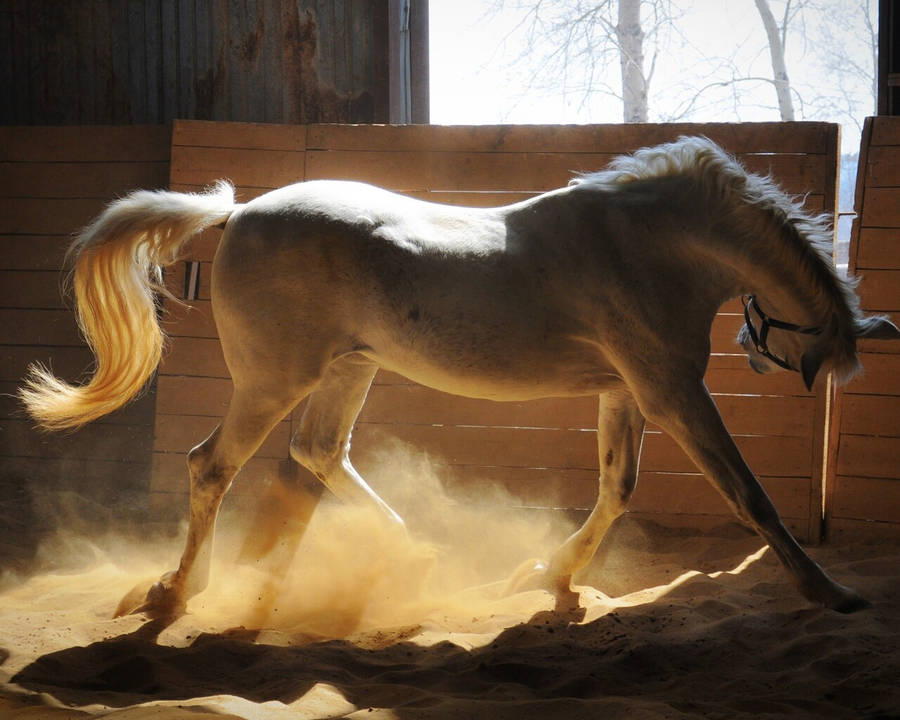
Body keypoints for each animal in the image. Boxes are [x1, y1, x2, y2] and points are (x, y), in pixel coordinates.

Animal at [19, 138, 892, 616]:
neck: (646, 244)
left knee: (318, 454)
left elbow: (617, 489)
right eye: (814, 356)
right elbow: (748, 496)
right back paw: (175, 593)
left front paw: (549, 575)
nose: (760, 354)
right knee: (213, 466)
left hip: (349, 370)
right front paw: (831, 593)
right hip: (272, 381)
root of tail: (238, 214)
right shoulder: (672, 391)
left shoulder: (627, 393)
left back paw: (410, 555)